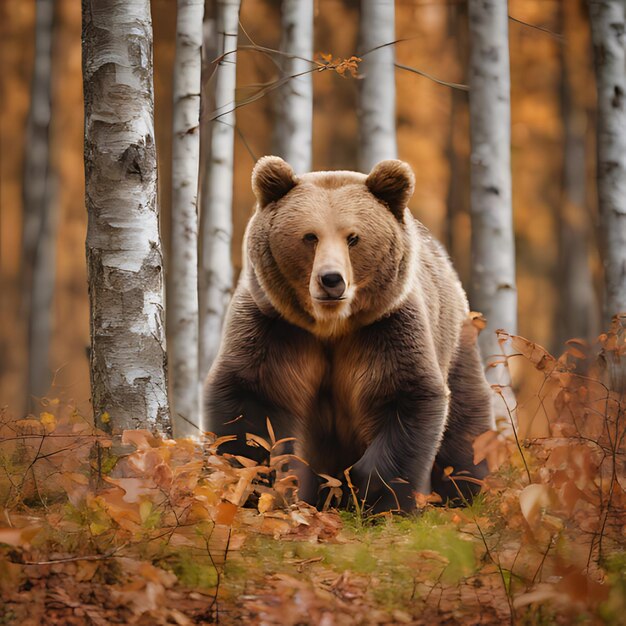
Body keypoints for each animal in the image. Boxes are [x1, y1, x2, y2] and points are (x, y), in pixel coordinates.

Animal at [205, 154, 492, 510]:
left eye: (353, 237)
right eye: (310, 236)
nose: (331, 280)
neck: (331, 326)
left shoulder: (386, 328)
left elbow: (404, 397)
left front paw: (377, 498)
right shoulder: (275, 327)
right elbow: (251, 401)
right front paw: (252, 488)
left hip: (454, 341)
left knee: (465, 427)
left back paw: (465, 493)